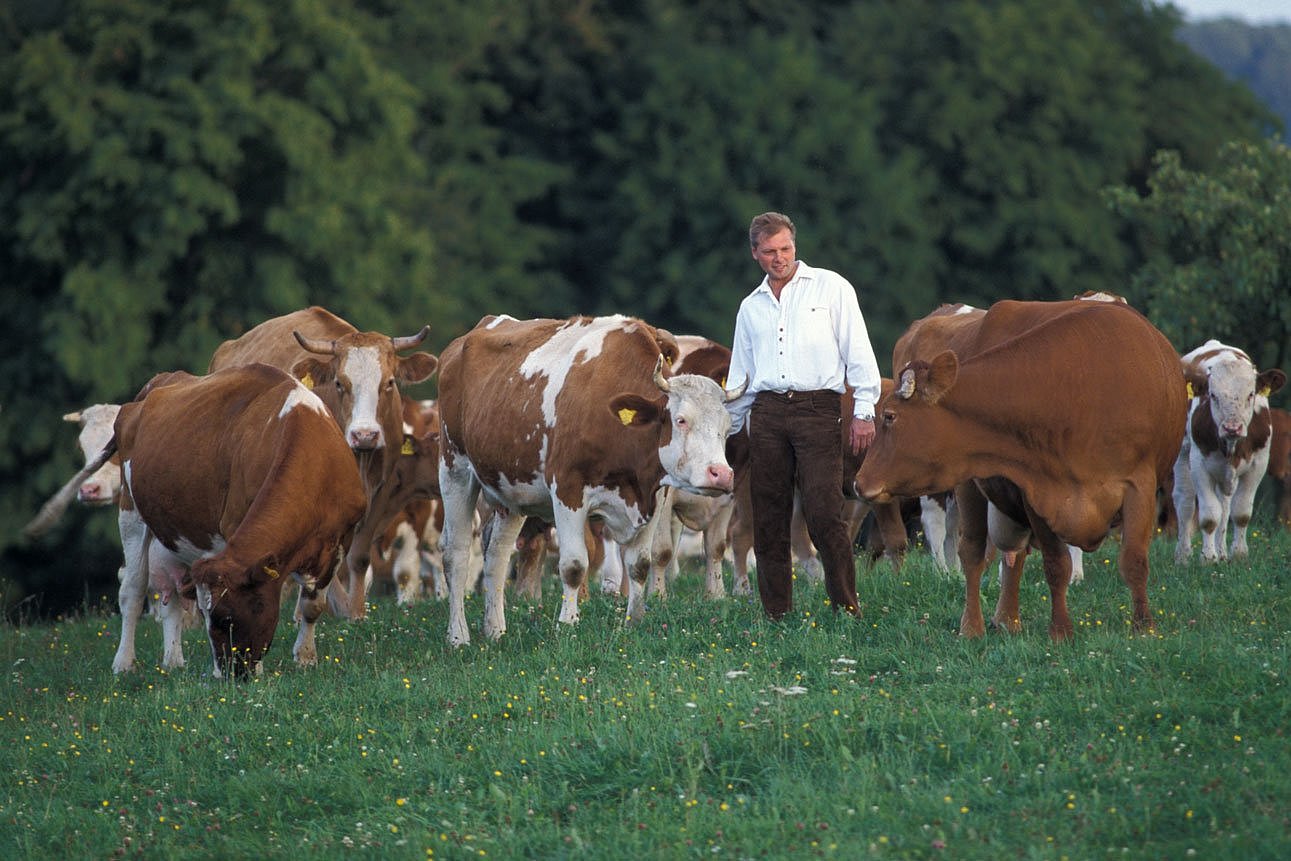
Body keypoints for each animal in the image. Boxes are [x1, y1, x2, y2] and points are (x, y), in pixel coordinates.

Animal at [207, 305, 438, 617]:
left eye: (389, 383)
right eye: (339, 383)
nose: (364, 435)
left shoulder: (381, 492)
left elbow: (359, 558)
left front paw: (356, 613)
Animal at [433, 313, 738, 642]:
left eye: (727, 425)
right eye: (681, 420)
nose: (721, 475)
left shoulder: (654, 497)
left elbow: (640, 564)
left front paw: (634, 621)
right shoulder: (567, 490)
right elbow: (574, 565)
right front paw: (567, 624)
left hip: (509, 491)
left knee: (497, 556)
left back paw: (495, 630)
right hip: (454, 469)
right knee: (456, 554)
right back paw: (458, 636)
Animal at [857, 299, 1187, 642]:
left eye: (889, 416)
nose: (860, 482)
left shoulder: (1139, 484)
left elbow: (1134, 559)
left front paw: (1144, 626)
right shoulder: (1036, 491)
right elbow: (1056, 563)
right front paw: (1061, 631)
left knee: (1011, 555)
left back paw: (1007, 619)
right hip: (972, 486)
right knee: (974, 552)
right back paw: (973, 626)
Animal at [1177, 340, 1285, 567]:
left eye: (1251, 394)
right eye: (1213, 395)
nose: (1232, 427)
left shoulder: (1258, 465)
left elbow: (1241, 512)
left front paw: (1239, 555)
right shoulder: (1199, 465)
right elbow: (1209, 516)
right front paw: (1208, 558)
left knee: (1225, 506)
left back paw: (1222, 552)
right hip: (1182, 454)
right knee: (1185, 503)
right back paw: (1183, 555)